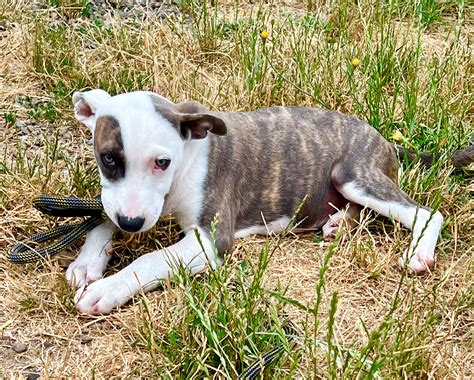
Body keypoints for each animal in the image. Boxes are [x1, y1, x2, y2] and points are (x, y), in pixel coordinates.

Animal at [67, 89, 444, 314]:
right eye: (108, 158)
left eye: (162, 162)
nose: (131, 223)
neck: (188, 155)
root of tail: (383, 139)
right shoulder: (120, 202)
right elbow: (101, 217)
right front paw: (88, 260)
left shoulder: (210, 239)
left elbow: (150, 259)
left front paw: (109, 287)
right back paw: (337, 222)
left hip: (353, 174)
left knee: (427, 212)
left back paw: (417, 252)